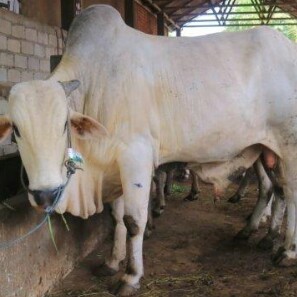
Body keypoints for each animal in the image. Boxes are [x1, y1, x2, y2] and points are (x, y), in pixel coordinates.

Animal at [0, 4, 296, 294]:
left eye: (64, 125)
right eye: (16, 130)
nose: (45, 195)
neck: (95, 80)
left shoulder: (136, 157)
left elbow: (133, 221)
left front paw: (130, 276)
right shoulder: (115, 164)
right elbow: (117, 217)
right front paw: (112, 262)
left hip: (290, 146)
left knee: (290, 194)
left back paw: (286, 251)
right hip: (267, 151)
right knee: (275, 190)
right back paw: (262, 235)